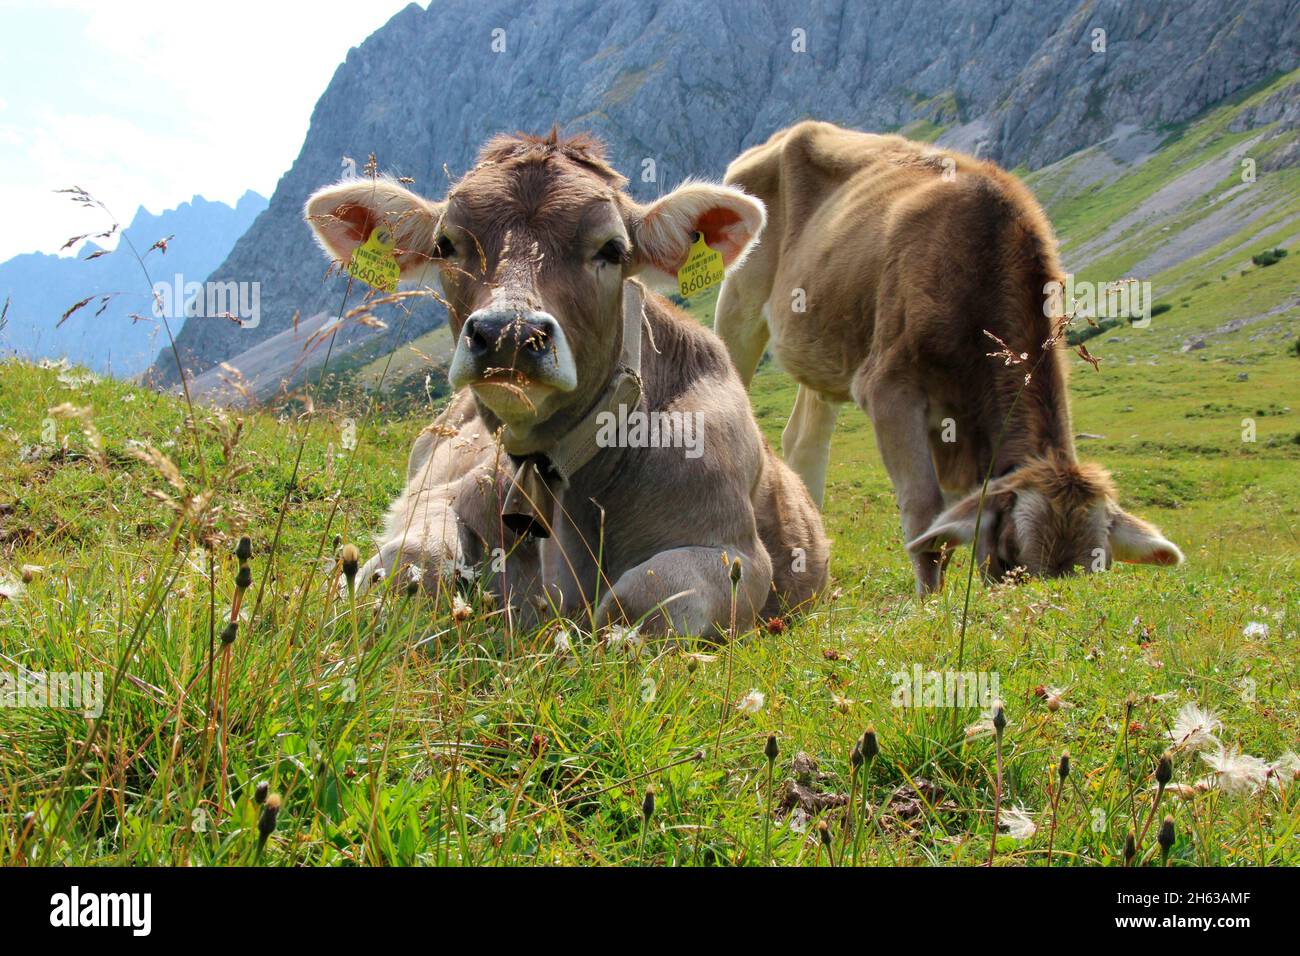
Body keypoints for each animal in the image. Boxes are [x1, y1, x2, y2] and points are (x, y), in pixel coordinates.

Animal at [306, 128, 821, 634]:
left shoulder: (739, 555)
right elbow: (415, 557)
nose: (508, 334)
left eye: (612, 249)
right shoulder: (439, 495)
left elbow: (640, 598)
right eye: (445, 244)